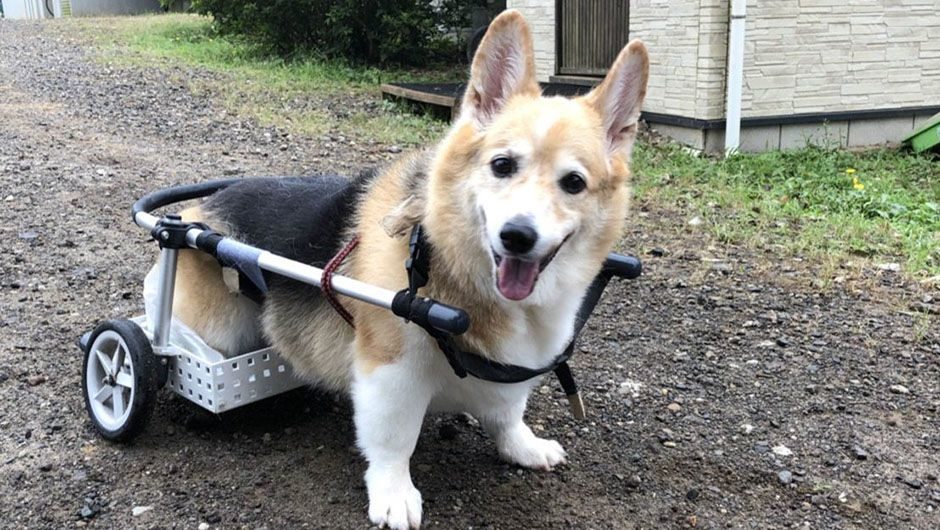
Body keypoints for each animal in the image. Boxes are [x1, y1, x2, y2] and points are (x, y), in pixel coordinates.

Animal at [167, 9, 648, 528]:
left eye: (574, 182)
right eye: (502, 165)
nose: (517, 236)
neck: (448, 265)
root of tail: (201, 206)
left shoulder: (513, 370)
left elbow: (507, 414)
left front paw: (523, 447)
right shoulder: (390, 371)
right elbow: (394, 441)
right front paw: (394, 496)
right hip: (215, 329)